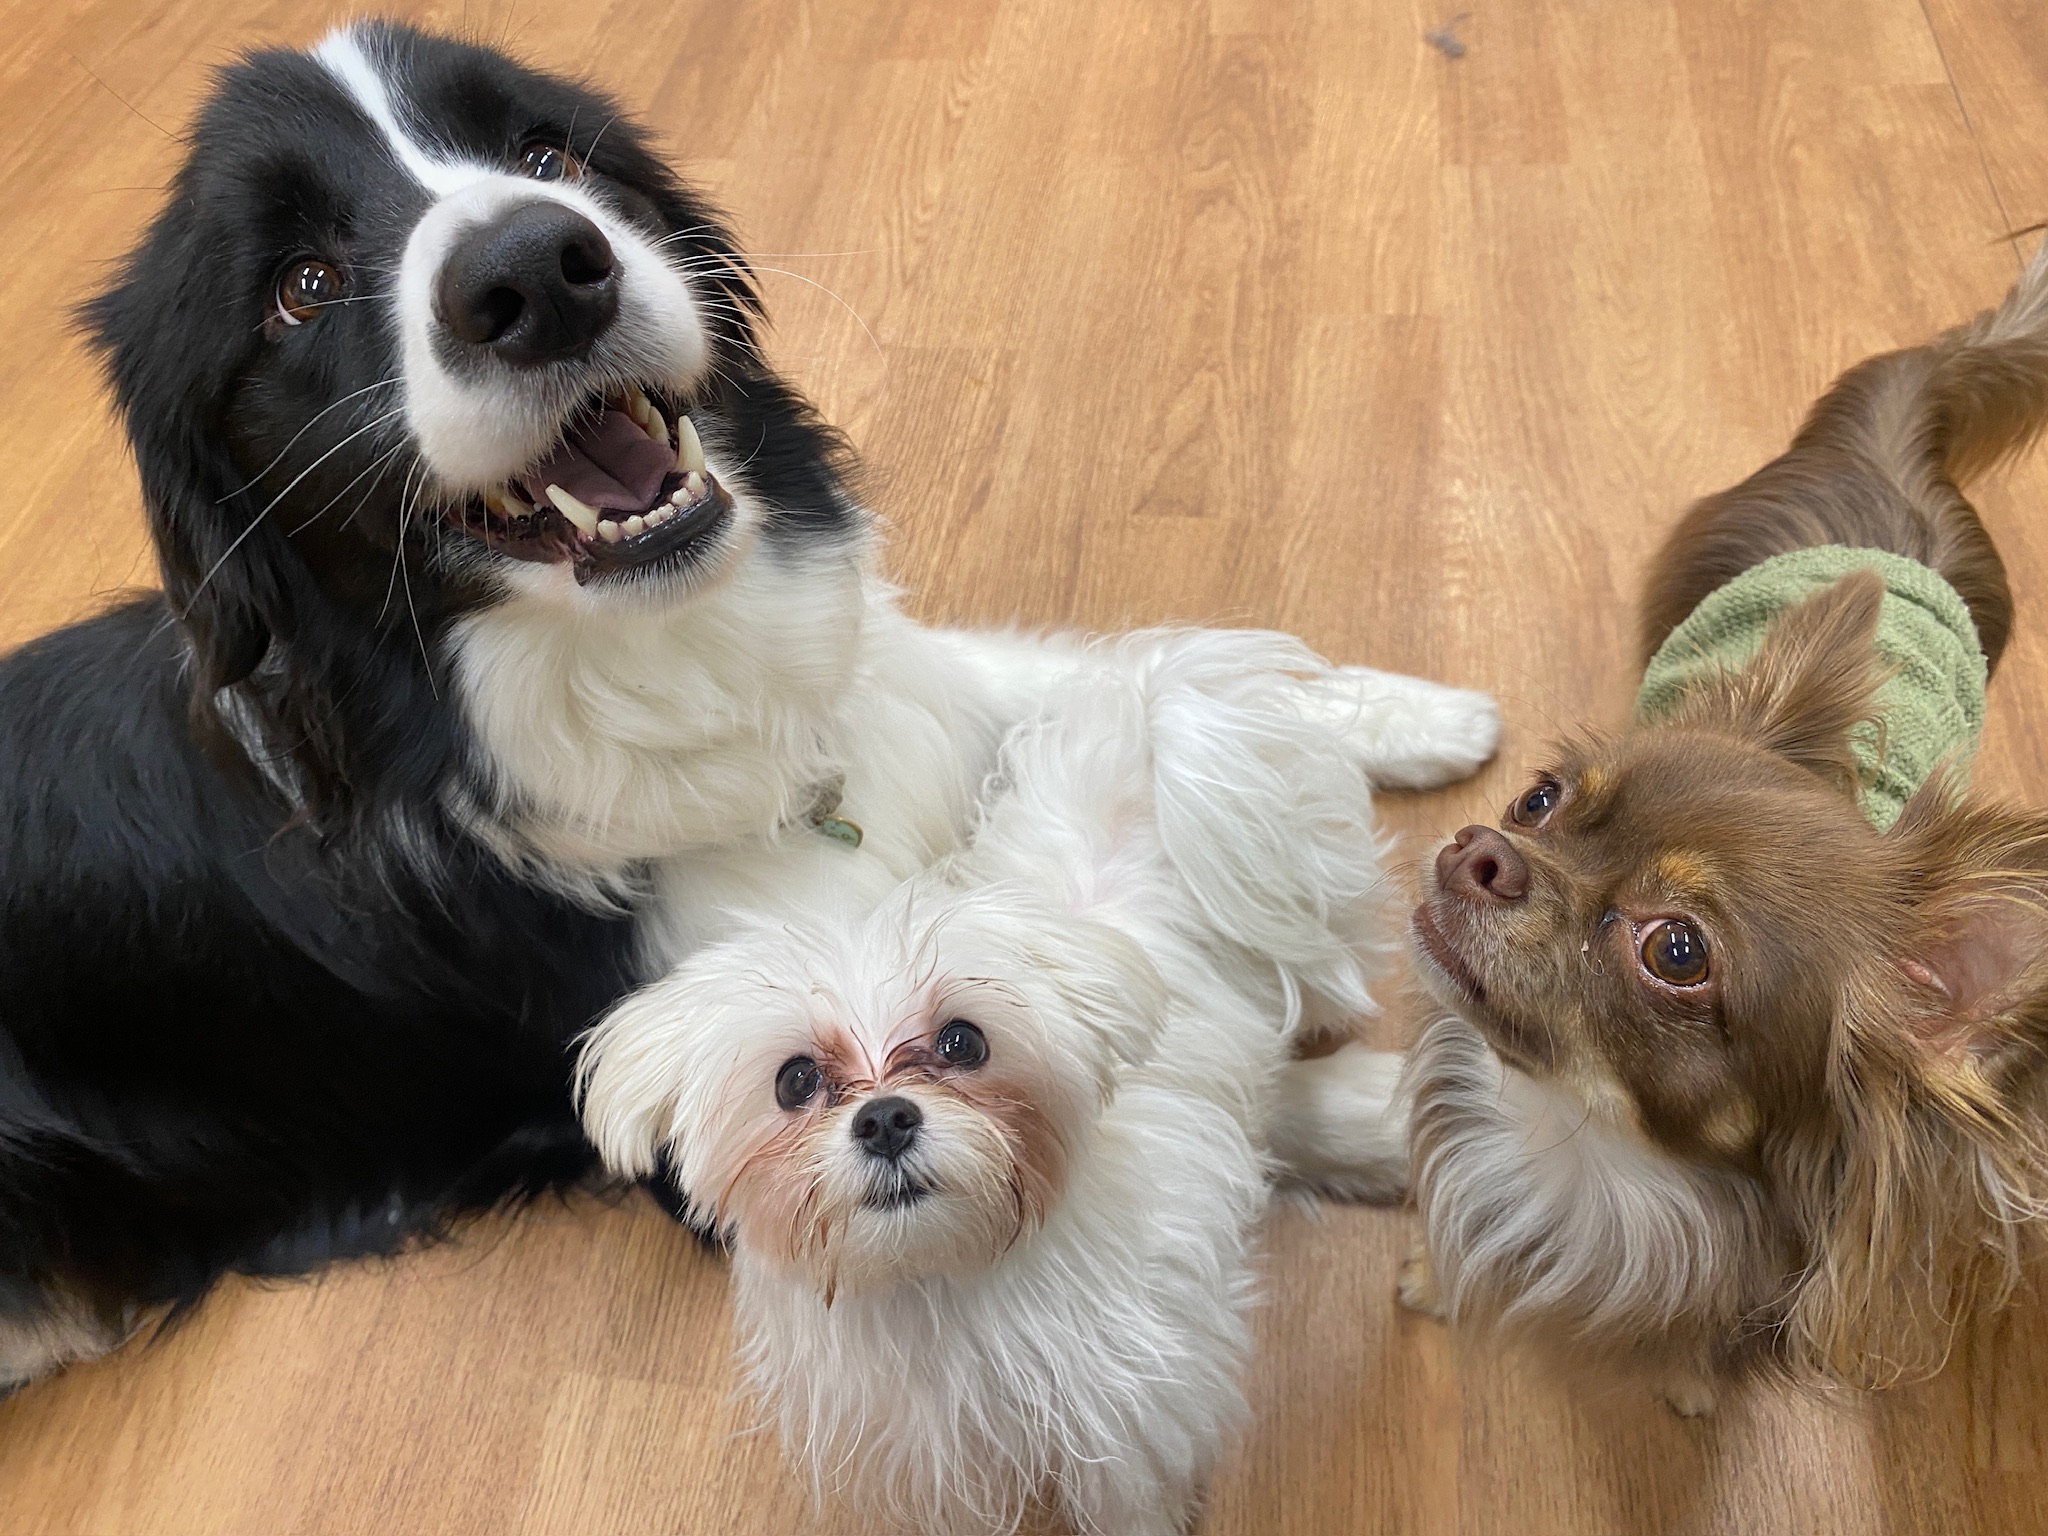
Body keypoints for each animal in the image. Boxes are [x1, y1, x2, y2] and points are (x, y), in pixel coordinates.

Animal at [0, 22, 1498, 1389]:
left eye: (545, 154)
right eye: (300, 289)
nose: (537, 269)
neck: (676, 678)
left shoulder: (904, 704)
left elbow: (1098, 667)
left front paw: (1397, 714)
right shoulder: (704, 1105)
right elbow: (1115, 1073)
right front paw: (1431, 1114)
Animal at [580, 628, 1427, 1536]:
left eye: (964, 1042)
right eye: (795, 1080)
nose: (885, 1119)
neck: (948, 1281)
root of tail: (1153, 706)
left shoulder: (1130, 1422)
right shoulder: (933, 1454)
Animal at [1397, 239, 2048, 1415]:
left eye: (1677, 951)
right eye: (1541, 799)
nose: (1482, 851)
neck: (1578, 1148)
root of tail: (1896, 430)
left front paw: (1690, 1379)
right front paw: (1430, 1271)